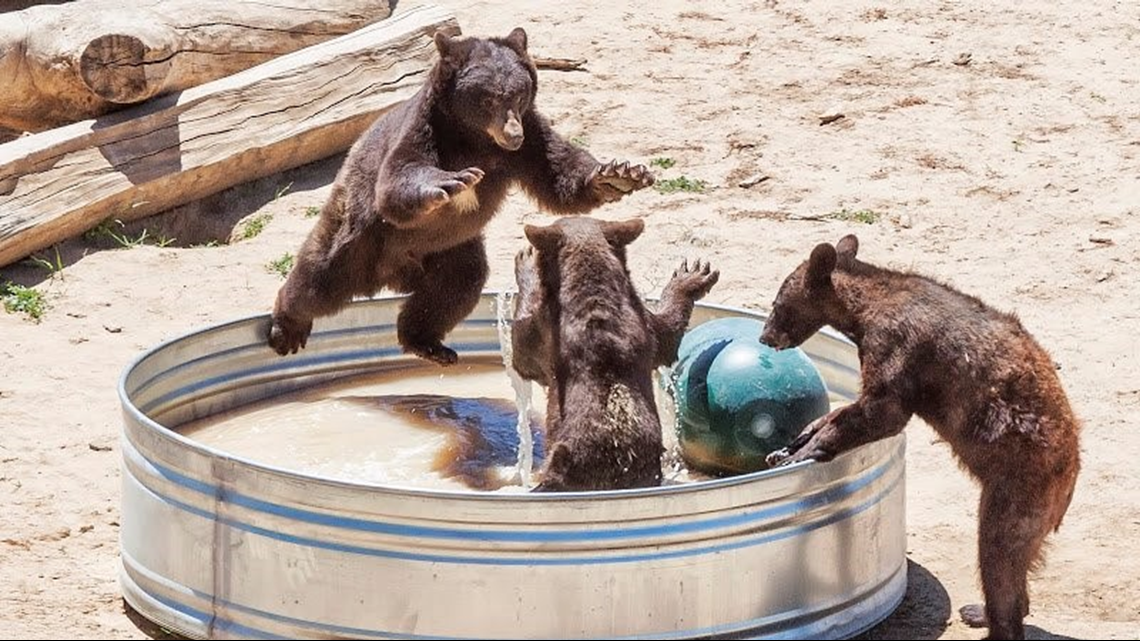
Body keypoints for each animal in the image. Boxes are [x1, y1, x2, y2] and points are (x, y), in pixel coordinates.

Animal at [267, 26, 656, 364]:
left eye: (518, 93)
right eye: (488, 98)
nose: (511, 133)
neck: (475, 140)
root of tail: (388, 275)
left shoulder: (529, 140)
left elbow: (559, 173)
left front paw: (621, 175)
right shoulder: (427, 131)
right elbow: (398, 181)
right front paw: (455, 182)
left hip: (446, 250)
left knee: (453, 288)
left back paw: (428, 343)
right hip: (359, 237)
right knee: (317, 280)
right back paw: (287, 328)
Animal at [756, 234, 1076, 638]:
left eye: (777, 303)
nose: (764, 336)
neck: (860, 312)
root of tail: (1071, 474)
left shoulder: (896, 345)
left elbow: (883, 411)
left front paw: (807, 449)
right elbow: (851, 410)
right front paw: (797, 439)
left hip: (1022, 481)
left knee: (999, 551)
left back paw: (995, 617)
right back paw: (981, 610)